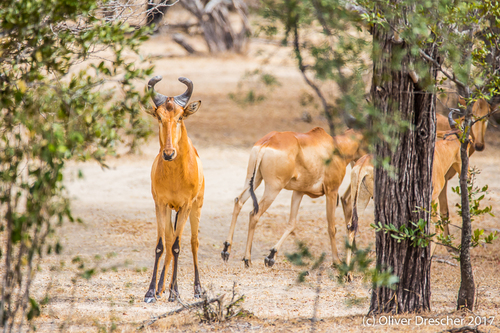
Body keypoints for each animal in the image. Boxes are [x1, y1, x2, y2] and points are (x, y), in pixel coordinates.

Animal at [144, 76, 206, 304]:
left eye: (180, 117)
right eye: (159, 116)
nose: (169, 153)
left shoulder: (186, 205)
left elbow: (179, 246)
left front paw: (175, 292)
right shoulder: (159, 204)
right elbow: (162, 246)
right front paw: (151, 292)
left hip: (195, 208)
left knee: (193, 242)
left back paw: (196, 289)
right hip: (172, 210)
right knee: (169, 240)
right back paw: (162, 288)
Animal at [221, 127, 366, 268]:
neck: (336, 147)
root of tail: (267, 142)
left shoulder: (298, 192)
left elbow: (292, 223)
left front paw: (271, 256)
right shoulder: (332, 191)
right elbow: (331, 227)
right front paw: (337, 261)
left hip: (253, 179)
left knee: (238, 201)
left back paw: (226, 250)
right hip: (273, 188)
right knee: (254, 214)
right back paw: (247, 259)